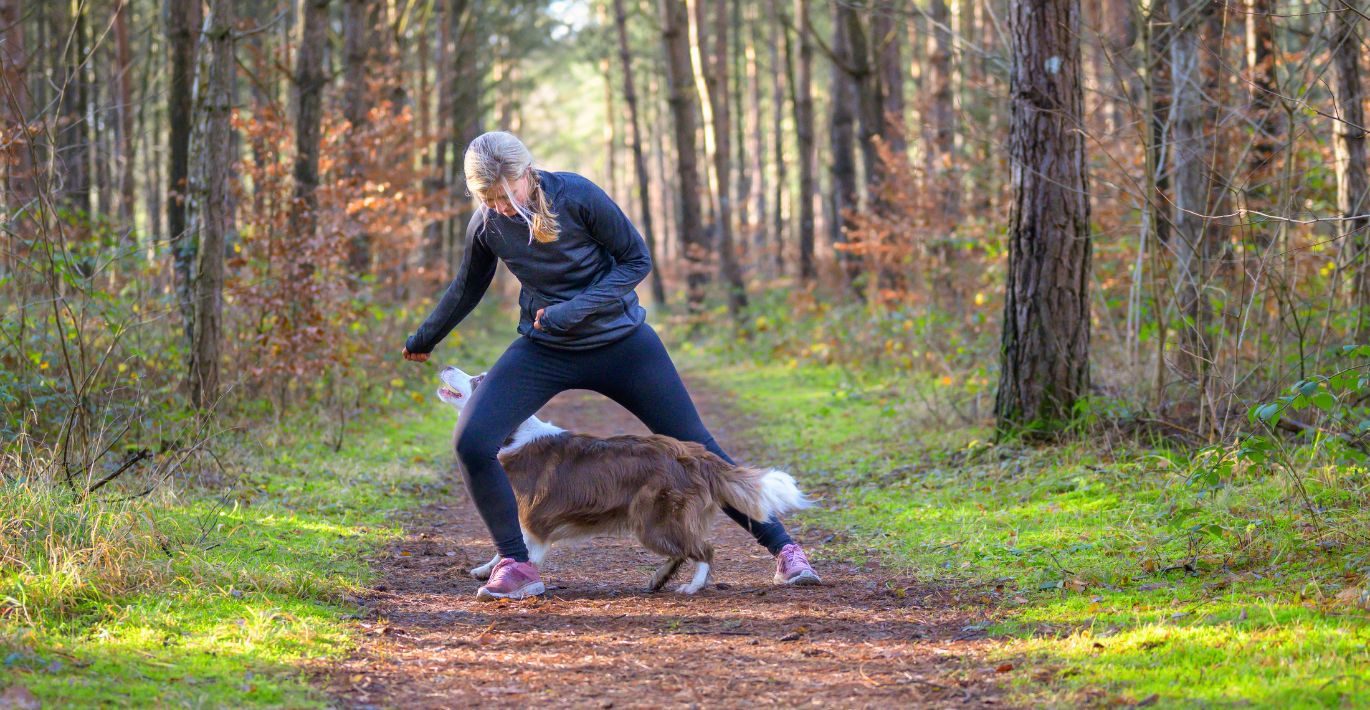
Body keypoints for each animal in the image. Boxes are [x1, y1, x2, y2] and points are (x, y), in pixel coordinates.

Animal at [432, 367, 805, 594]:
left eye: (478, 380)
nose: (446, 365)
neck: (513, 433)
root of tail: (692, 453)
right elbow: (505, 543)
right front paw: (489, 569)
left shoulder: (533, 520)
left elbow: (525, 546)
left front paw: (517, 576)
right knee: (686, 550)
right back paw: (658, 579)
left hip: (653, 521)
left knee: (704, 549)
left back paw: (692, 586)